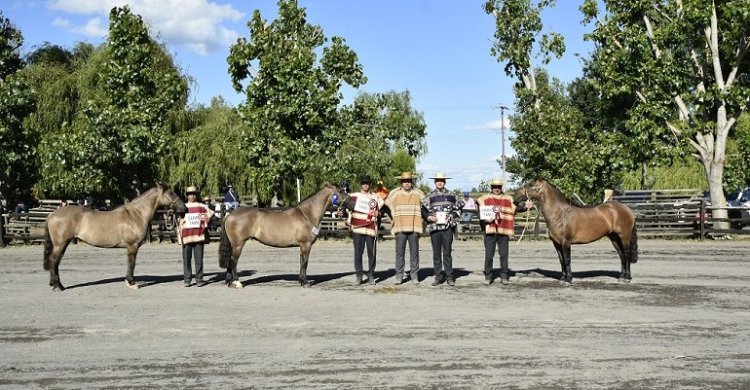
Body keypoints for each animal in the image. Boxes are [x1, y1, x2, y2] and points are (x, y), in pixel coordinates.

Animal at [42, 182, 187, 290]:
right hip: (60, 244)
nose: (184, 209)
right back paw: (57, 286)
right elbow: (131, 263)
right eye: (171, 193)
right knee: (54, 260)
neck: (136, 214)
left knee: (56, 262)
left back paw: (56, 284)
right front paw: (131, 282)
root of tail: (52, 214)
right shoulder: (132, 246)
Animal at [217, 182, 346, 286]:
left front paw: (301, 280)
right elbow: (305, 263)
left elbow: (301, 262)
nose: (349, 199)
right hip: (238, 244)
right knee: (233, 261)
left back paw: (229, 282)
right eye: (340, 191)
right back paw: (237, 283)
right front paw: (305, 282)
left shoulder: (302, 246)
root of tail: (229, 215)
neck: (307, 214)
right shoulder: (306, 244)